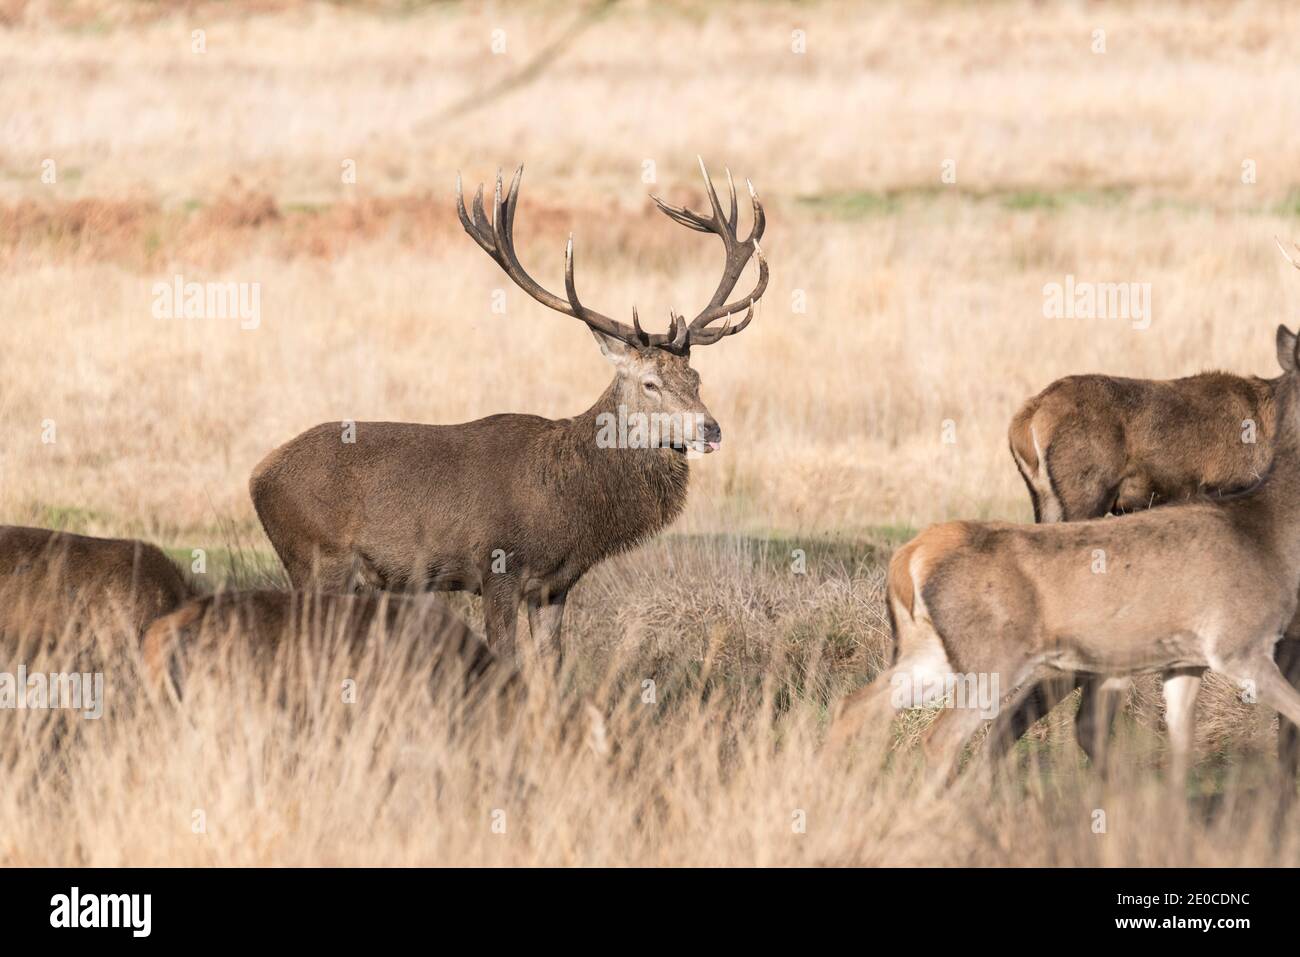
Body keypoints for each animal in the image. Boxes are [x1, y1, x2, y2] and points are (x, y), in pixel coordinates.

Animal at [248, 160, 764, 660]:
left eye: (696, 379)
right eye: (650, 383)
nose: (711, 429)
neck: (568, 507)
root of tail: (257, 475)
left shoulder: (555, 585)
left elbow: (552, 663)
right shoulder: (497, 567)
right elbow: (504, 657)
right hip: (317, 557)